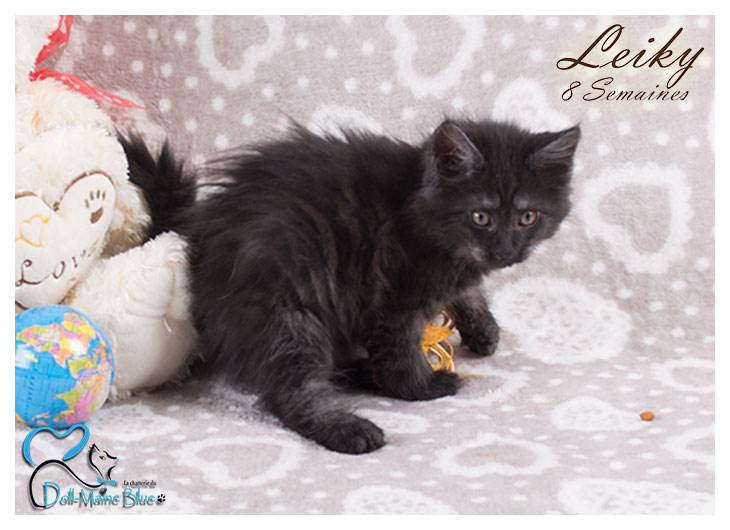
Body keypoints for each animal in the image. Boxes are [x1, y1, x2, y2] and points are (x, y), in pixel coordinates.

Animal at [120, 118, 580, 454]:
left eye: (527, 218)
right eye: (481, 218)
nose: (506, 251)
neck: (418, 206)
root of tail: (199, 227)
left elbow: (468, 294)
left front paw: (484, 331)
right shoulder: (397, 298)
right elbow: (400, 352)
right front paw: (422, 387)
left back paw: (360, 373)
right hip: (288, 314)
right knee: (294, 393)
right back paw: (349, 429)